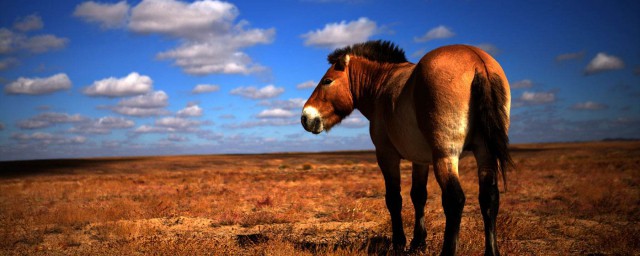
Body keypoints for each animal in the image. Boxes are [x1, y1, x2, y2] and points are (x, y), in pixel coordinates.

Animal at [302, 41, 516, 255]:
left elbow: (394, 199)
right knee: (489, 198)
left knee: (454, 200)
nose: (306, 117)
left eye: (327, 81)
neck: (382, 84)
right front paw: (418, 242)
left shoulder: (386, 155)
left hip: (446, 155)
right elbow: (418, 195)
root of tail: (477, 61)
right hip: (484, 153)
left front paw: (399, 243)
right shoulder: (420, 160)